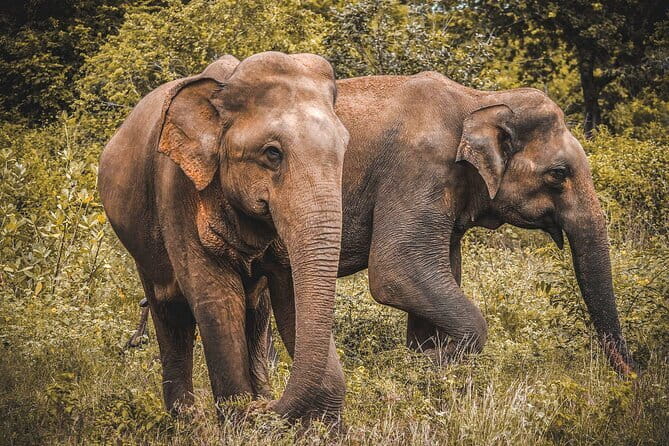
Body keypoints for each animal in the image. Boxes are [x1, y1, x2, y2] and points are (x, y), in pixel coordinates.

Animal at [98, 51, 350, 422]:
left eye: (345, 149)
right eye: (272, 153)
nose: (263, 409)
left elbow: (290, 296)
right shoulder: (177, 188)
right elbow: (215, 298)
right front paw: (239, 417)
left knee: (256, 314)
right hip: (142, 248)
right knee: (170, 315)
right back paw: (186, 422)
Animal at [255, 71, 635, 377]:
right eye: (558, 174)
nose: (633, 375)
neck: (479, 101)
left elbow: (442, 272)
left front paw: (422, 359)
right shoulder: (419, 170)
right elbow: (398, 269)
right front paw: (431, 363)